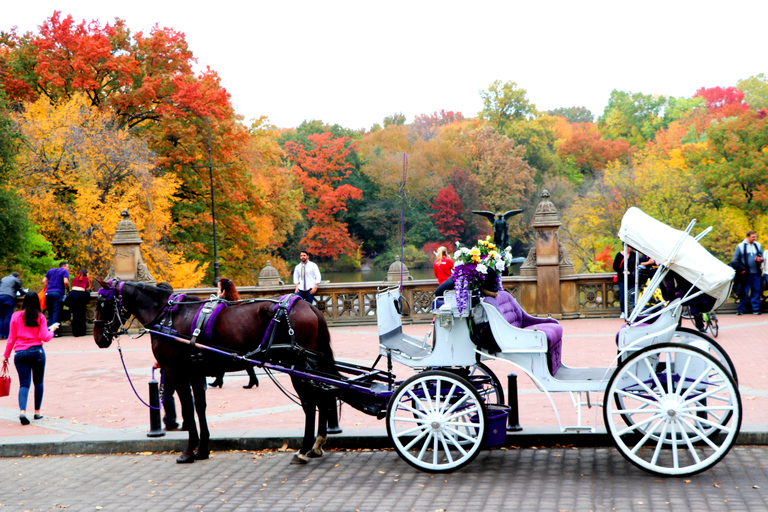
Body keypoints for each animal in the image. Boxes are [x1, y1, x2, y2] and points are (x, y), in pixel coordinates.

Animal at [93, 280, 340, 464]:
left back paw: (304, 448)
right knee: (323, 397)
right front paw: (202, 449)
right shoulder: (196, 372)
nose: (97, 338)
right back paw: (317, 444)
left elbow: (187, 408)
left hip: (297, 367)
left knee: (310, 403)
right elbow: (200, 408)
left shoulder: (176, 371)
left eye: (102, 302)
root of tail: (307, 305)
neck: (167, 315)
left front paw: (188, 451)